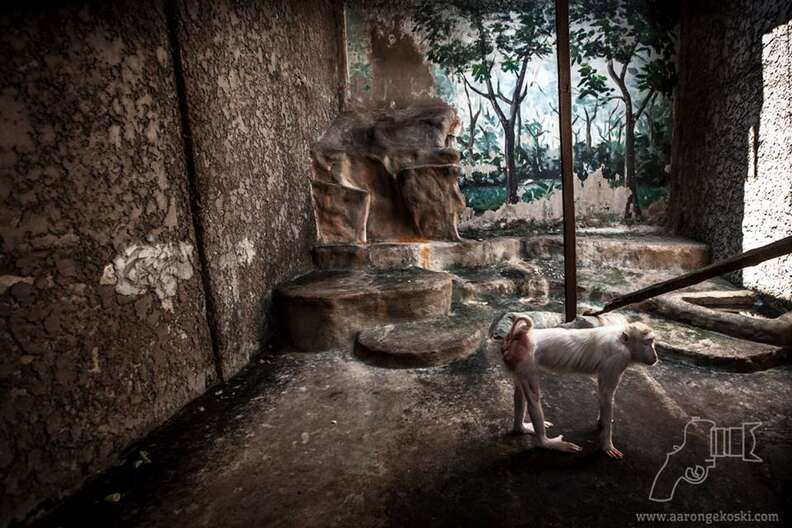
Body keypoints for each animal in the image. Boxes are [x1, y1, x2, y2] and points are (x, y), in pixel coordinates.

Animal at [502, 318, 656, 458]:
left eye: (652, 342)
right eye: (648, 342)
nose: (655, 355)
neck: (622, 340)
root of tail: (520, 335)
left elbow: (603, 395)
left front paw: (602, 422)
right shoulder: (618, 359)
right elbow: (606, 395)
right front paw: (607, 445)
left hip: (515, 359)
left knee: (520, 392)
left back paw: (520, 428)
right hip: (524, 358)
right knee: (533, 397)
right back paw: (545, 443)